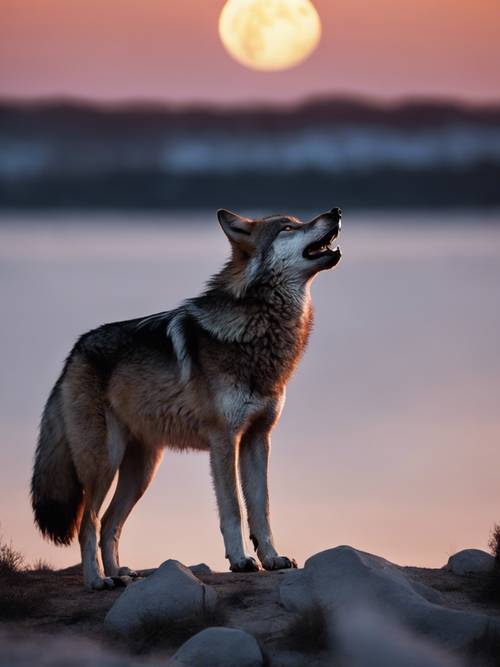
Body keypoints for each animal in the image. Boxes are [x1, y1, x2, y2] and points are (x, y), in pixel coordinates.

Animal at [31, 207, 342, 590]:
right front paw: (241, 560)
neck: (261, 331)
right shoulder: (224, 440)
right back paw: (97, 580)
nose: (335, 211)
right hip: (105, 463)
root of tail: (74, 352)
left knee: (109, 524)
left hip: (141, 472)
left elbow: (261, 508)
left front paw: (272, 558)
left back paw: (120, 574)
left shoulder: (257, 439)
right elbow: (233, 509)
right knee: (88, 523)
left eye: (299, 221)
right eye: (287, 228)